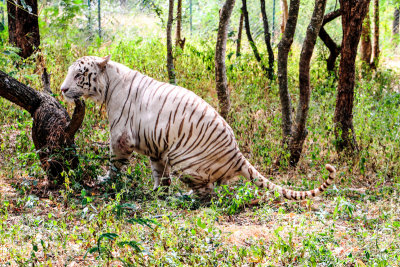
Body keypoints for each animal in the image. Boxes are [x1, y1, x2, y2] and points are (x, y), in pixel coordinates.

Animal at [61, 55, 336, 200]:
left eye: (79, 75)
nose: (62, 89)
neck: (107, 85)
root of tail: (237, 154)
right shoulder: (156, 146)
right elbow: (159, 173)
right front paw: (158, 192)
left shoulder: (120, 138)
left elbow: (114, 164)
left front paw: (106, 180)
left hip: (184, 159)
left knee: (208, 192)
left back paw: (186, 197)